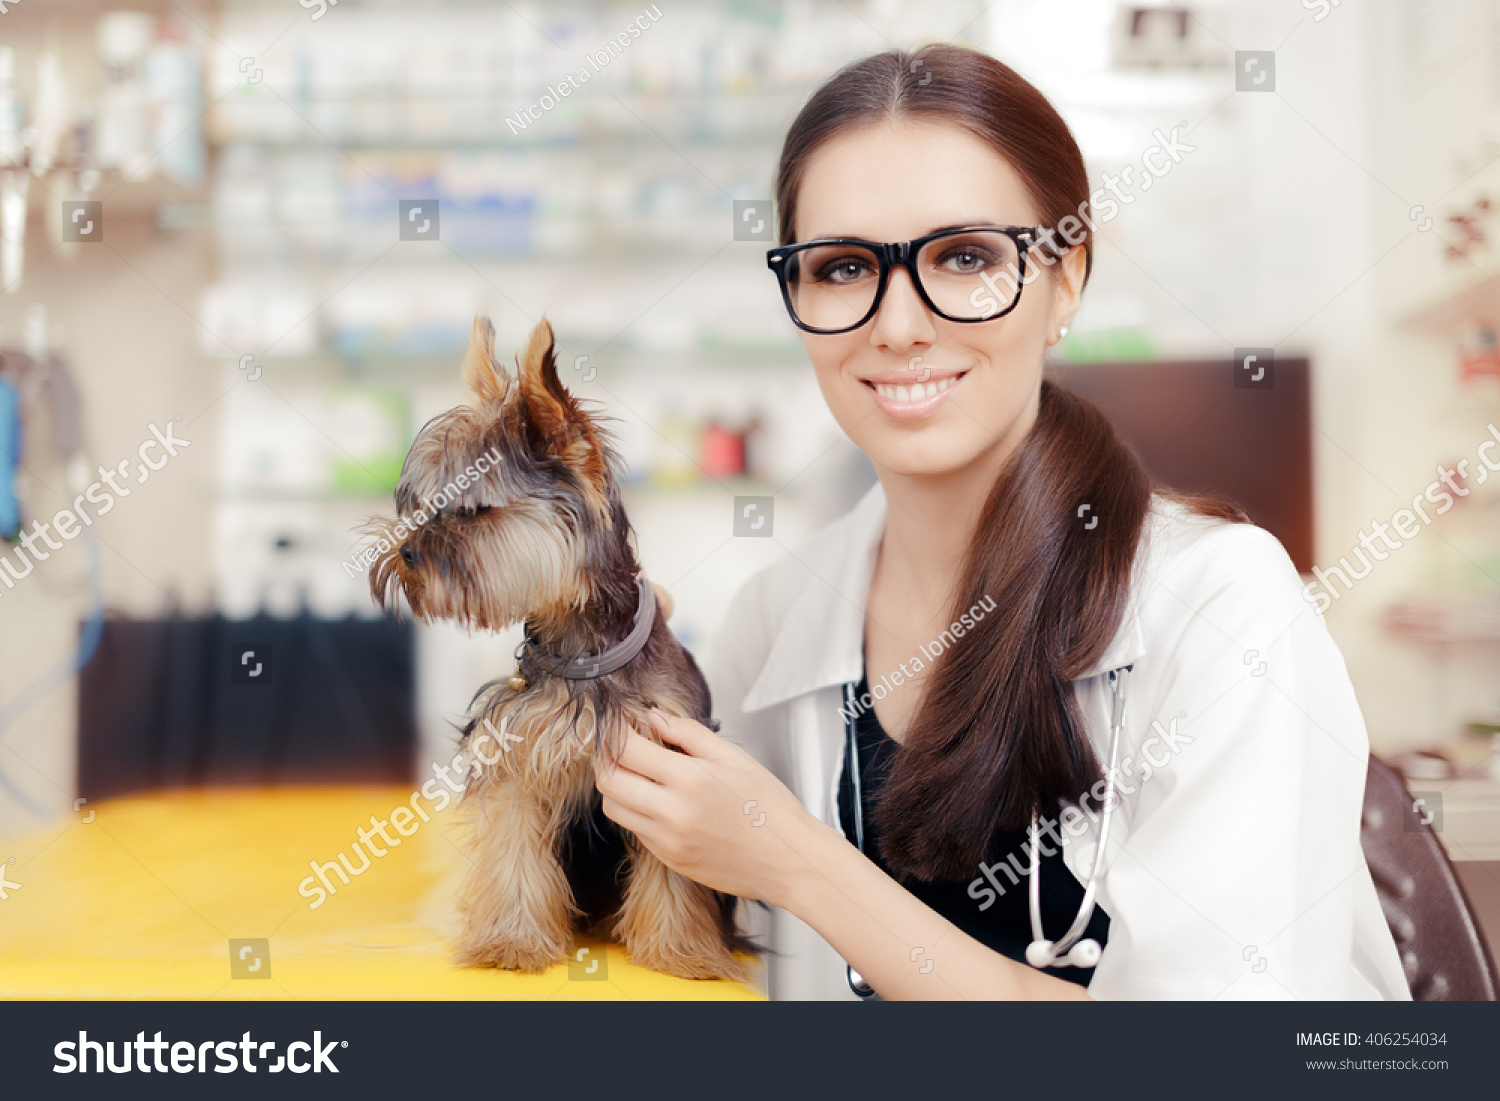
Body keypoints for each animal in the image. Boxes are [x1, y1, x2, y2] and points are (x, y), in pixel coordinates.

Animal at [367, 315, 750, 978]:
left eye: (475, 510)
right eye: (424, 504)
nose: (406, 551)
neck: (583, 653)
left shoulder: (670, 764)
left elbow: (673, 870)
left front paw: (681, 952)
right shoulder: (519, 763)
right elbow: (514, 856)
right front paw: (512, 941)